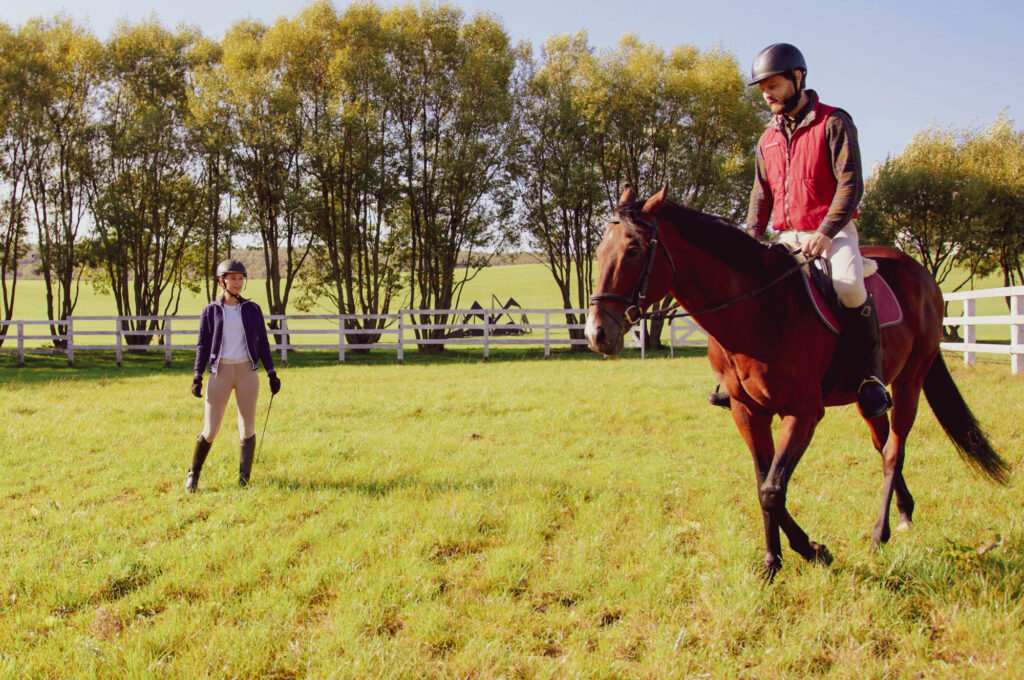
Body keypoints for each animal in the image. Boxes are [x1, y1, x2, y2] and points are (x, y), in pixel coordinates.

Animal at [585, 184, 1007, 577]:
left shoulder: (802, 414)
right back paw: (905, 510)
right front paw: (788, 555)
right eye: (600, 251)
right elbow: (763, 483)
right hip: (868, 396)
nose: (596, 334)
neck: (756, 309)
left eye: (634, 250)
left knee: (893, 451)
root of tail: (920, 272)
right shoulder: (748, 412)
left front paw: (796, 555)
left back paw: (880, 532)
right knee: (882, 438)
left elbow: (773, 489)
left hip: (911, 378)